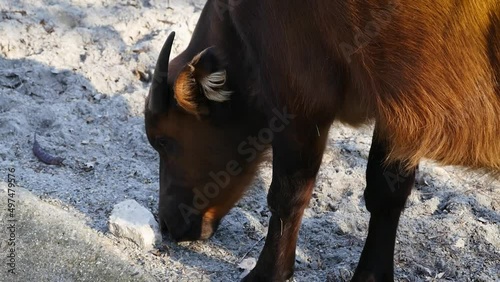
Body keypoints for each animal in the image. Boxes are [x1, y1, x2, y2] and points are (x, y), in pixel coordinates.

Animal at [143, 1, 498, 280]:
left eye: (163, 142)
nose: (166, 224)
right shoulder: (396, 116)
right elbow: (385, 191)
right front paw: (371, 275)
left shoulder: (299, 102)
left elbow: (287, 197)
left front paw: (267, 273)